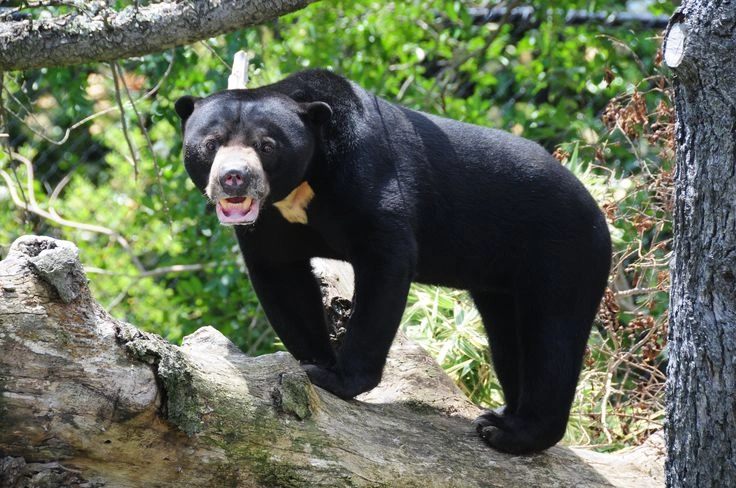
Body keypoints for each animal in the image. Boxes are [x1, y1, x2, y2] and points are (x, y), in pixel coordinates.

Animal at [174, 69, 611, 454]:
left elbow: (385, 263)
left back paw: (512, 434)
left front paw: (337, 378)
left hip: (562, 252)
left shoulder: (370, 178)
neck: (301, 187)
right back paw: (503, 416)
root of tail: (595, 207)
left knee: (552, 333)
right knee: (508, 335)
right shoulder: (269, 225)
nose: (234, 178)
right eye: (211, 144)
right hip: (503, 278)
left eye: (267, 145)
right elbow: (281, 278)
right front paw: (312, 363)